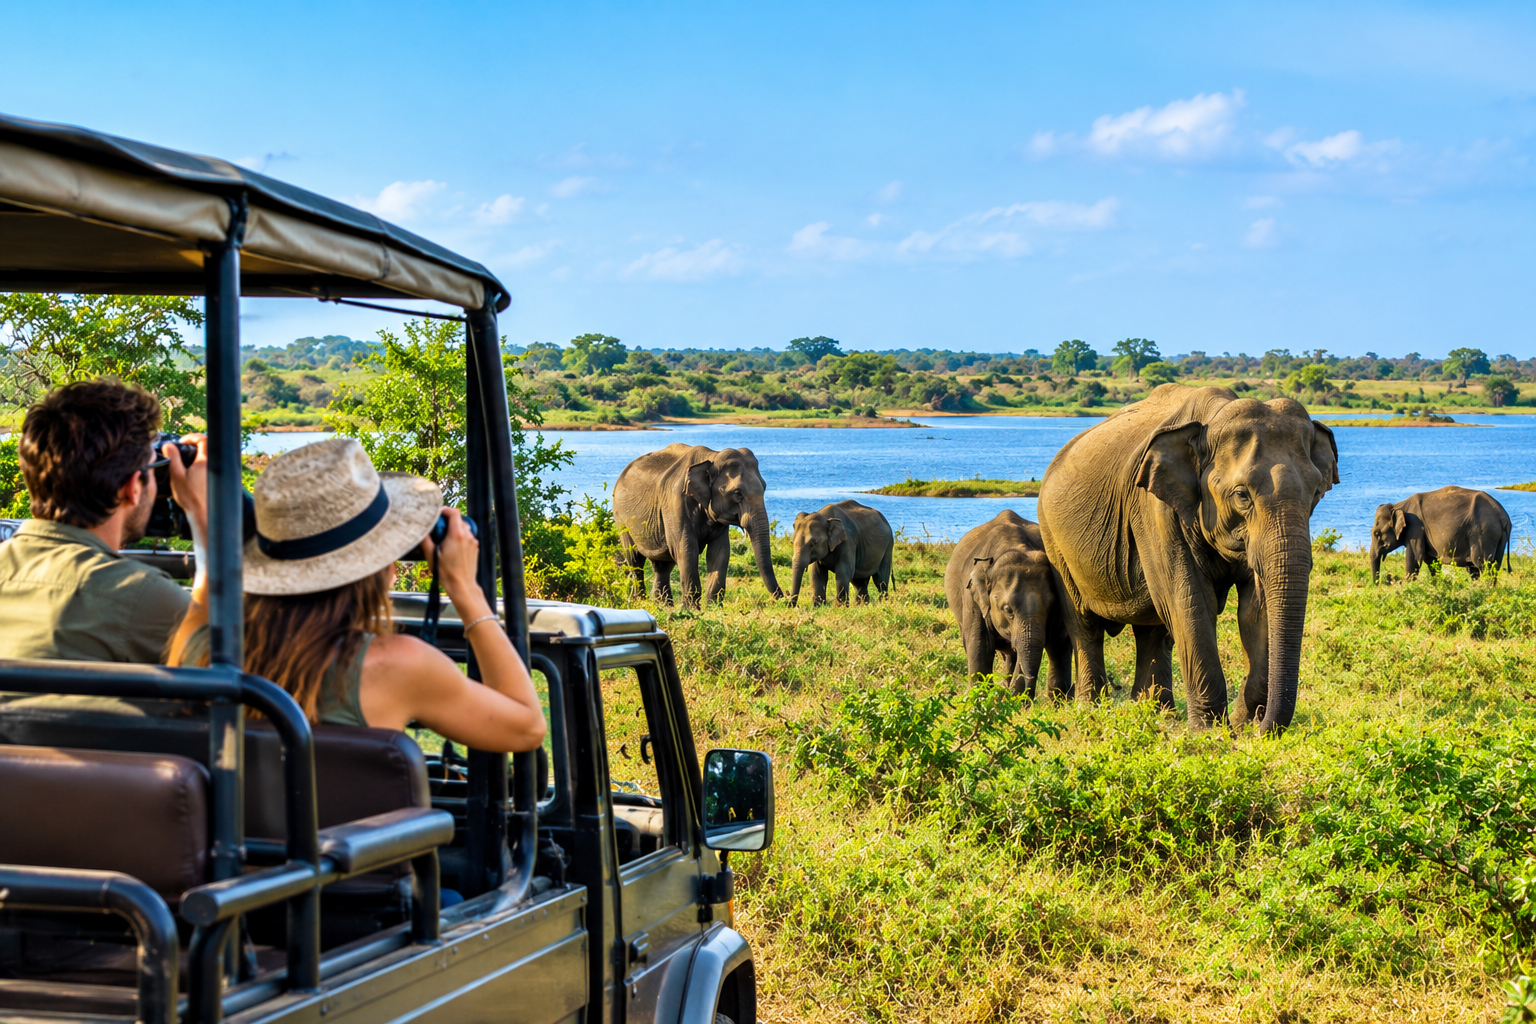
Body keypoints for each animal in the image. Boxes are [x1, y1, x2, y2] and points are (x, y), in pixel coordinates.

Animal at [612, 443, 782, 608]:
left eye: (765, 487)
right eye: (737, 493)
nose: (784, 600)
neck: (712, 457)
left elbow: (719, 551)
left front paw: (713, 607)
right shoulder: (675, 503)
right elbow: (686, 548)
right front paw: (692, 608)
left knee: (662, 563)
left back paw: (663, 604)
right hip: (621, 519)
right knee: (635, 559)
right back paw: (639, 601)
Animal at [944, 510, 1072, 698]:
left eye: (1050, 608)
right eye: (1008, 610)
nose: (1028, 695)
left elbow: (1055, 641)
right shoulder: (972, 598)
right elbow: (979, 644)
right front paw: (977, 697)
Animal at [1037, 384, 1339, 734]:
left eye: (1316, 493)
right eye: (1242, 495)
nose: (1258, 725)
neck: (1211, 419)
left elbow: (1255, 608)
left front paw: (1240, 721)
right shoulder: (1155, 510)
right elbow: (1191, 602)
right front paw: (1211, 731)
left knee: (1153, 629)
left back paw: (1157, 715)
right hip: (1054, 541)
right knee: (1085, 624)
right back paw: (1092, 709)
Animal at [1370, 486, 1512, 582]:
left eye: (1377, 533)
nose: (1382, 582)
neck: (1398, 506)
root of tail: (1503, 517)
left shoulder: (1415, 529)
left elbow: (1415, 559)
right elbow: (1432, 562)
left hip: (1484, 534)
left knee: (1482, 565)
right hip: (1497, 538)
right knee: (1487, 568)